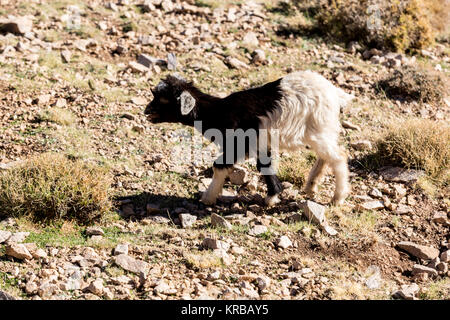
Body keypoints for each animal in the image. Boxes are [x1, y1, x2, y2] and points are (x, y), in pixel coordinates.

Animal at [145, 71, 356, 206]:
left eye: (164, 100)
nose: (147, 112)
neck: (219, 112)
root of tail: (335, 93)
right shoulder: (260, 144)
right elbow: (265, 166)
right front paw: (273, 196)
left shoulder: (238, 143)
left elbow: (219, 166)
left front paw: (208, 198)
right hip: (321, 131)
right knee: (326, 156)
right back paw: (311, 186)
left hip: (318, 129)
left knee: (339, 157)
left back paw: (337, 198)